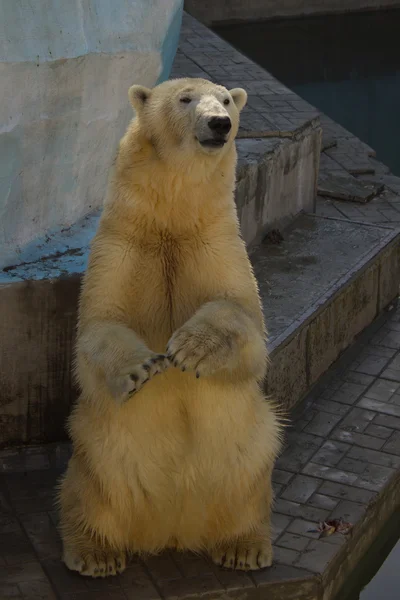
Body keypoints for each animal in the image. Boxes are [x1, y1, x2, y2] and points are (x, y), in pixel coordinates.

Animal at [58, 76, 282, 576]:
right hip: (97, 454)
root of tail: (172, 531)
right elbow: (99, 326)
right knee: (86, 490)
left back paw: (243, 547)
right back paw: (95, 553)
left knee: (255, 472)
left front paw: (190, 350)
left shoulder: (217, 240)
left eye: (226, 99)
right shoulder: (122, 243)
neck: (171, 222)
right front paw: (142, 369)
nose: (219, 123)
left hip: (247, 457)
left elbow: (245, 323)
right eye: (185, 99)